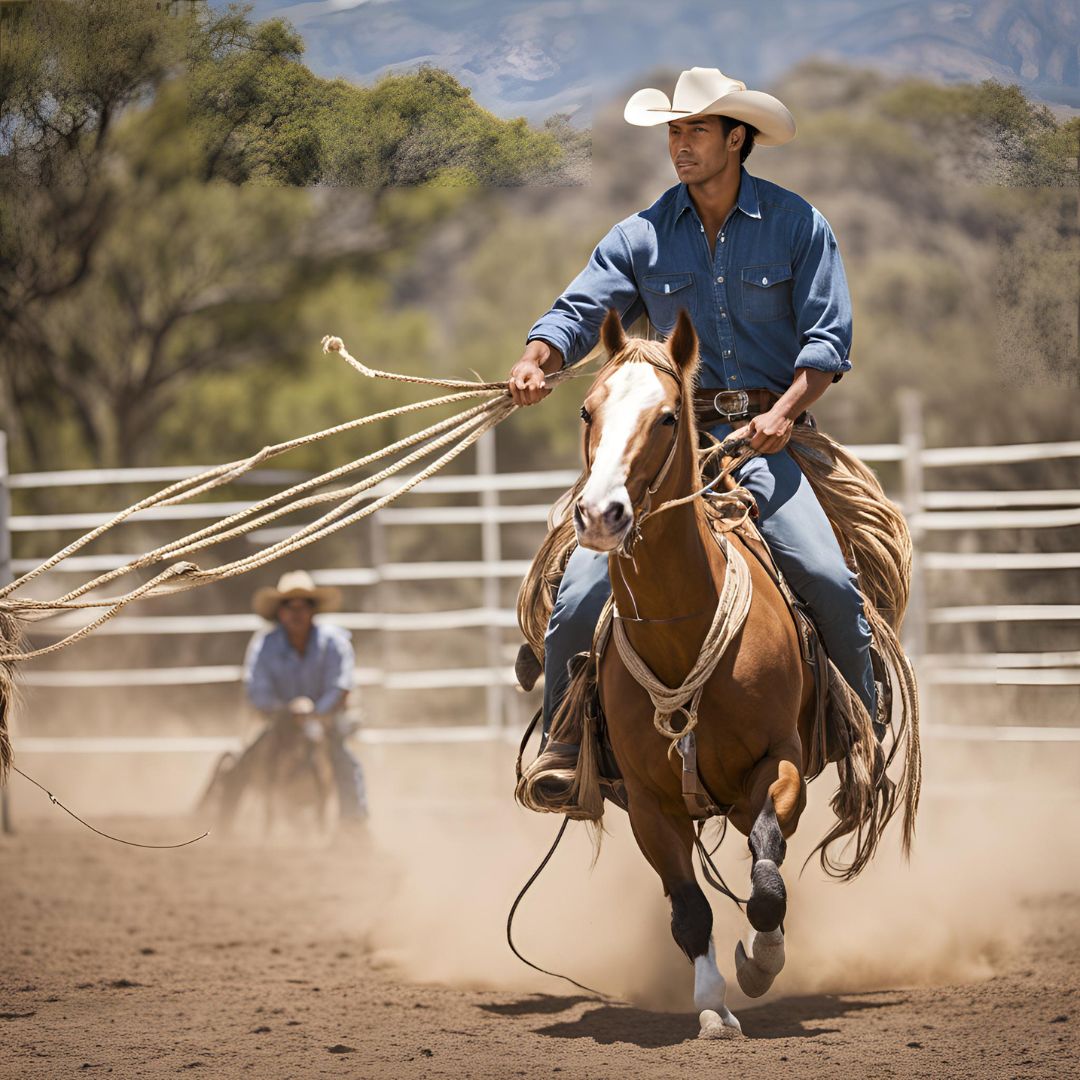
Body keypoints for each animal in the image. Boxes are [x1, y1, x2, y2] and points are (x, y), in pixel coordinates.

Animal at [548, 311, 911, 1036]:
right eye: (587, 409)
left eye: (666, 416)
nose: (600, 514)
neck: (682, 632)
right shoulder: (649, 802)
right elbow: (689, 907)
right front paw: (713, 1005)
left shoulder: (778, 762)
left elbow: (767, 878)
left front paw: (758, 961)